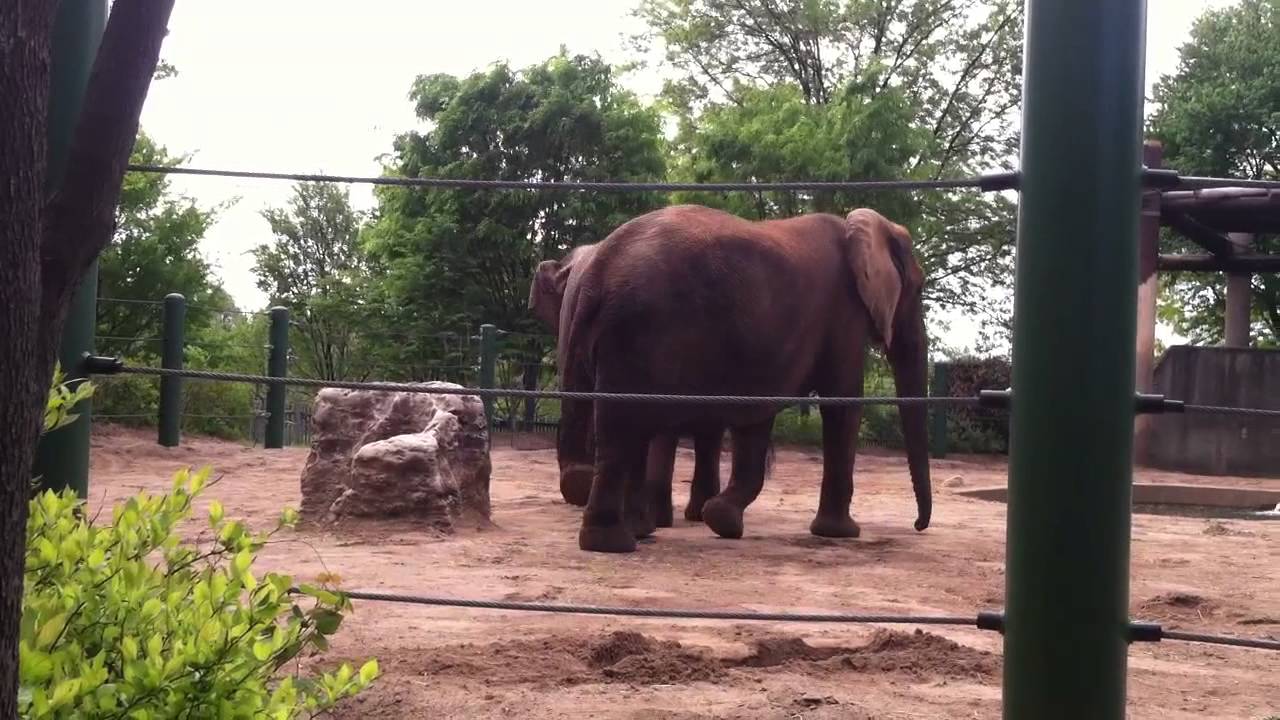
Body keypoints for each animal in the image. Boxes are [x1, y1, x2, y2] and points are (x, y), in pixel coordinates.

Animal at [555, 204, 932, 553]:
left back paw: (637, 532)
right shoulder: (845, 313)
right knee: (625, 424)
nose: (918, 525)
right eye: (919, 288)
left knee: (620, 421)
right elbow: (841, 405)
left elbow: (758, 412)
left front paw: (722, 520)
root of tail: (599, 268)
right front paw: (840, 533)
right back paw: (614, 543)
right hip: (638, 331)